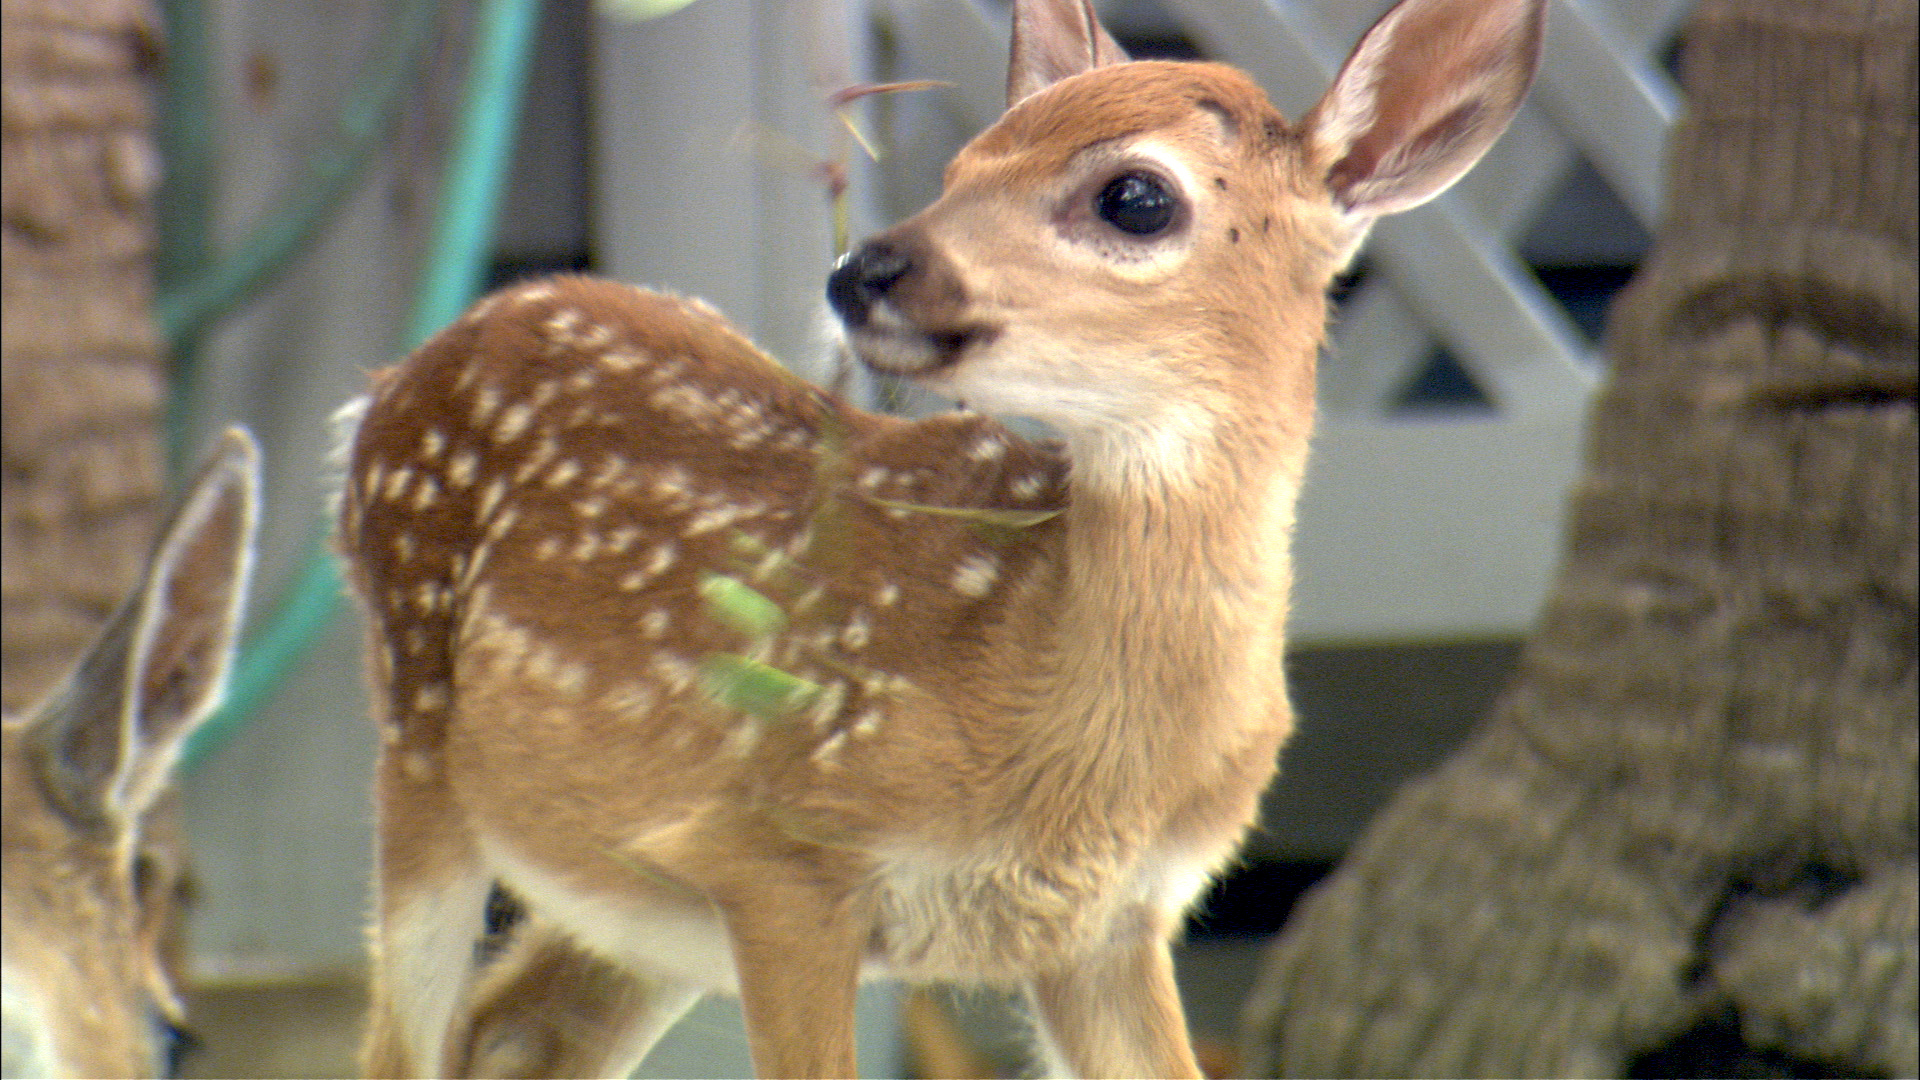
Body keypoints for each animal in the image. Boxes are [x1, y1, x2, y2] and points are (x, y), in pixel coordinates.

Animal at [337, 0, 1543, 1074]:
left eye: (1136, 196)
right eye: (964, 165)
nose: (863, 267)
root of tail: (401, 372)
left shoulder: (1111, 925)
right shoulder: (784, 849)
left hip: (636, 899)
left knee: (512, 1030)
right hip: (418, 740)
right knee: (404, 1041)